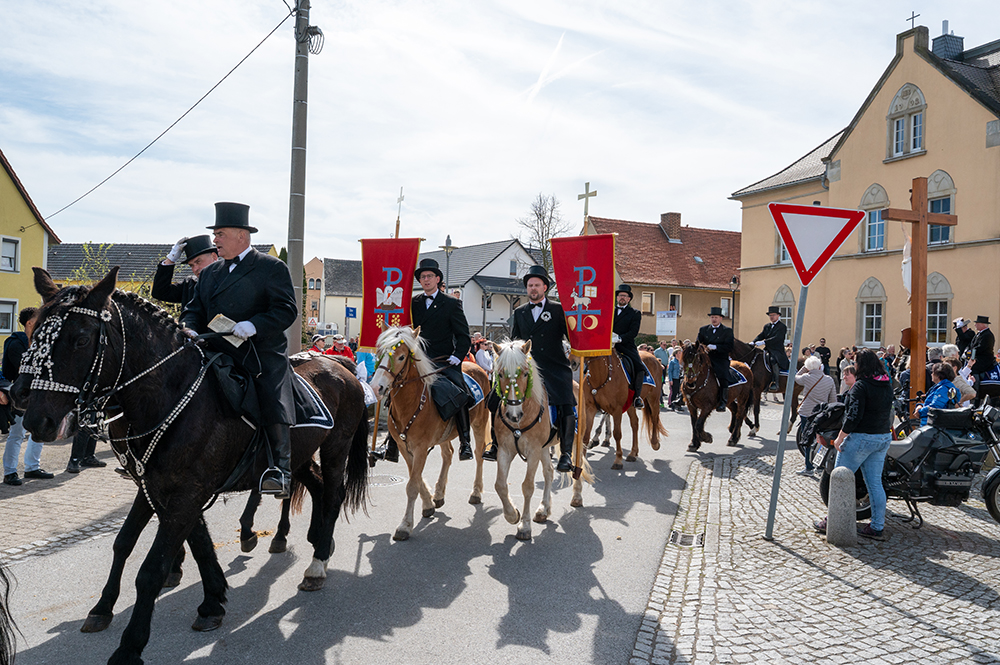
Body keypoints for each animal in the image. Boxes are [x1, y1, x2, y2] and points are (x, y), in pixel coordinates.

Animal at [11, 267, 370, 665]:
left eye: (80, 339)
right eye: (35, 333)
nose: (34, 416)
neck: (170, 395)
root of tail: (340, 365)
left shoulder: (186, 493)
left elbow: (151, 569)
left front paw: (130, 645)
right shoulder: (153, 485)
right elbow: (135, 542)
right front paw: (204, 600)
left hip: (335, 449)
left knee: (333, 494)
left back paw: (317, 564)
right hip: (301, 456)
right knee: (318, 489)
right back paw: (315, 540)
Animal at [370, 326, 490, 541]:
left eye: (401, 357)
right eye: (379, 353)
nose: (377, 387)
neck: (412, 403)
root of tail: (476, 366)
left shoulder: (420, 448)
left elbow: (412, 485)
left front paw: (404, 526)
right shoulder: (404, 447)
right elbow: (415, 478)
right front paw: (428, 504)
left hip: (479, 423)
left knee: (478, 455)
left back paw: (476, 492)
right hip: (443, 436)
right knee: (448, 454)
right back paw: (439, 494)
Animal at [491, 340, 594, 538]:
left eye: (525, 373)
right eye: (499, 374)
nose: (513, 415)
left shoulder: (533, 451)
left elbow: (528, 486)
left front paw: (524, 526)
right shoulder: (505, 450)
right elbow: (500, 484)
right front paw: (512, 515)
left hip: (576, 440)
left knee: (577, 463)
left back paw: (576, 497)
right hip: (545, 448)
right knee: (549, 472)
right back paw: (543, 509)